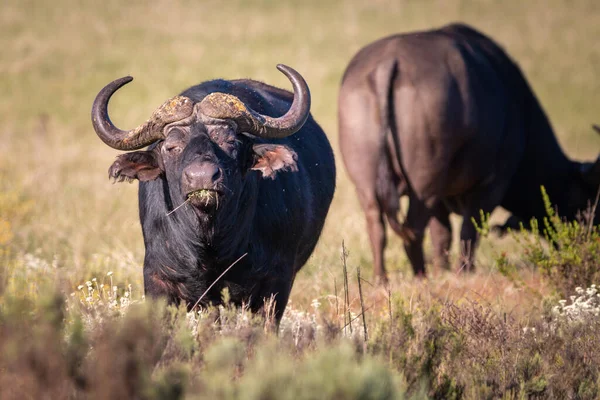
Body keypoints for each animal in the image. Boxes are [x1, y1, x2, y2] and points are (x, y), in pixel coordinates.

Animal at [94, 65, 338, 322]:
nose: (202, 177)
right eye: (171, 147)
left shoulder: (276, 282)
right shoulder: (158, 278)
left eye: (230, 141)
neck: (211, 243)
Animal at [340, 22, 596, 282]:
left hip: (368, 183)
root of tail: (388, 62)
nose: (584, 241)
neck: (521, 111)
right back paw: (421, 276)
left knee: (377, 225)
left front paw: (442, 269)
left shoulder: (441, 196)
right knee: (414, 230)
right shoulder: (492, 185)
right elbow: (469, 230)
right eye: (587, 206)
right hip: (424, 185)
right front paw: (463, 271)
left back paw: (382, 278)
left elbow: (442, 233)